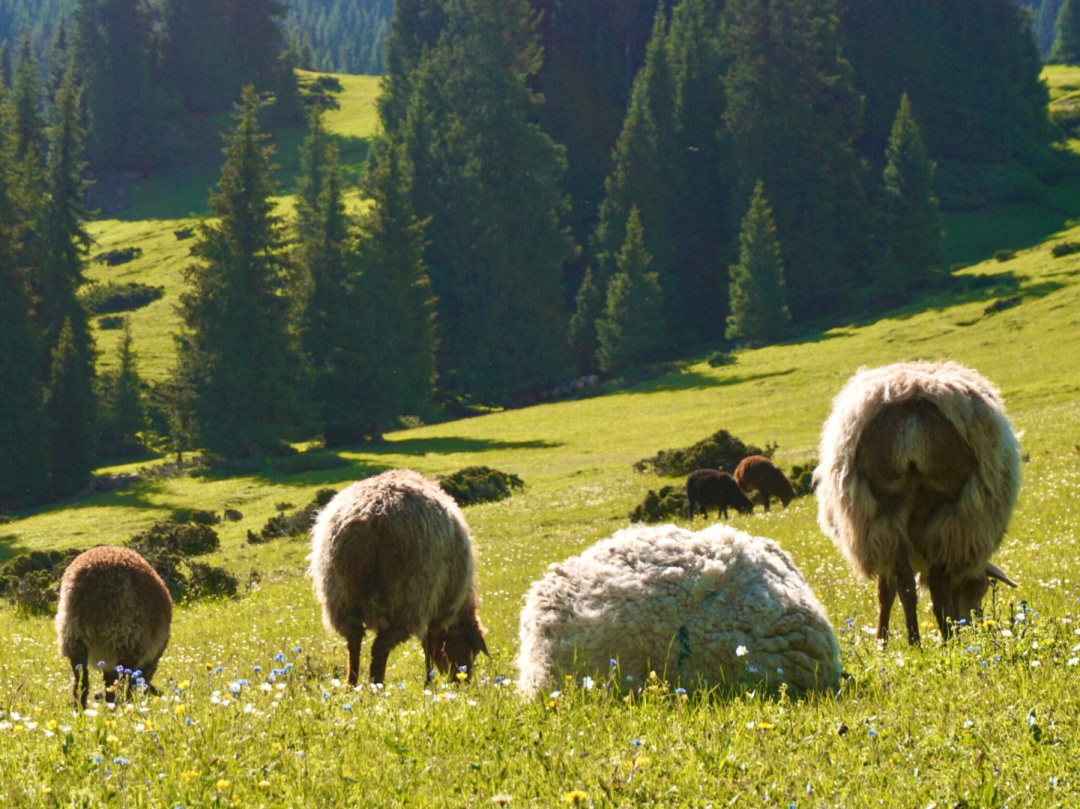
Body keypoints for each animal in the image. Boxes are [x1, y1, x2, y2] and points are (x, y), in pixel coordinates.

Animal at [54, 542, 171, 708]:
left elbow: (108, 684)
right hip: (127, 636)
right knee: (122, 682)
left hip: (74, 635)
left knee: (81, 682)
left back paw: (81, 711)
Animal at [306, 466, 488, 682]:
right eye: (470, 648)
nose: (463, 681)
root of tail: (369, 519)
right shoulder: (437, 608)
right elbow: (429, 646)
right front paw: (429, 682)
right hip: (407, 597)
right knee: (380, 647)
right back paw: (376, 684)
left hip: (340, 595)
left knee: (354, 640)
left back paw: (351, 684)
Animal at [816, 360, 1019, 643]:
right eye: (979, 590)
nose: (969, 624)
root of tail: (911, 413)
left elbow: (886, 588)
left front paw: (881, 641)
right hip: (943, 503)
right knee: (937, 584)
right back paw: (946, 637)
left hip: (887, 508)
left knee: (904, 586)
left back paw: (915, 641)